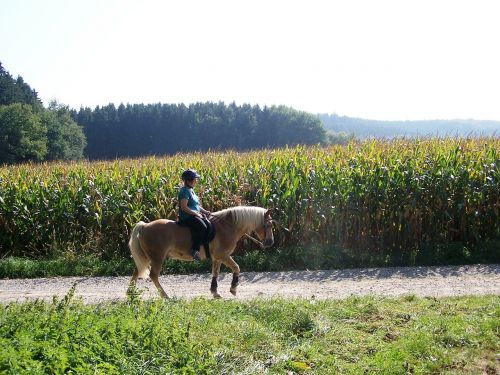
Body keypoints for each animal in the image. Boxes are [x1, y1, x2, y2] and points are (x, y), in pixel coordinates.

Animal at [126, 206, 274, 300]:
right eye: (269, 225)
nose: (270, 242)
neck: (228, 226)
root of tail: (144, 226)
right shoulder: (223, 255)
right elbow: (236, 268)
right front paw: (233, 289)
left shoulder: (217, 258)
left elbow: (215, 273)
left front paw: (215, 292)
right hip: (157, 258)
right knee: (153, 276)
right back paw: (165, 296)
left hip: (147, 257)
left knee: (136, 272)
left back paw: (131, 294)